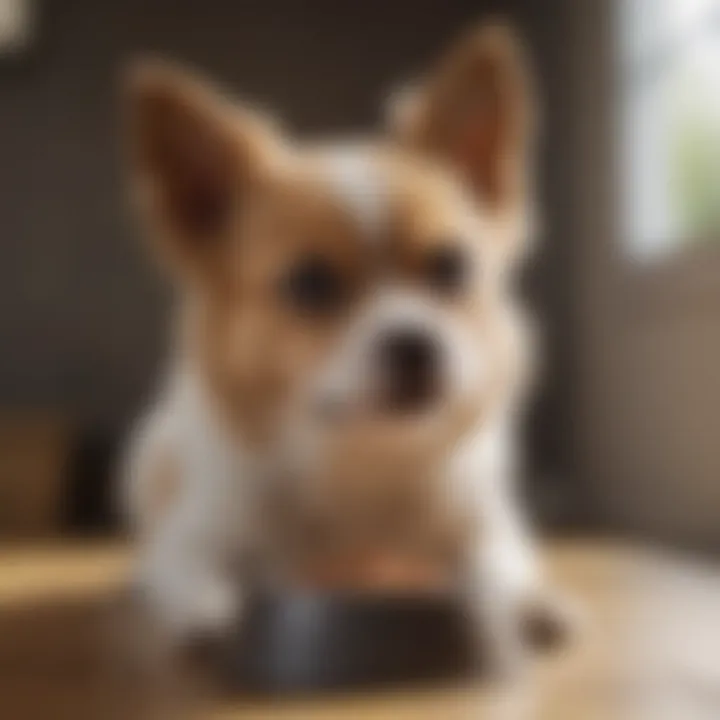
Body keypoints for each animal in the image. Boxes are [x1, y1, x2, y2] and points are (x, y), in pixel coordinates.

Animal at [119, 22, 568, 676]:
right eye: (311, 284)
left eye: (451, 267)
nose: (415, 342)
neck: (362, 458)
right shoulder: (196, 534)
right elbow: (186, 570)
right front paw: (205, 613)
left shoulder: (482, 524)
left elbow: (497, 562)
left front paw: (522, 605)